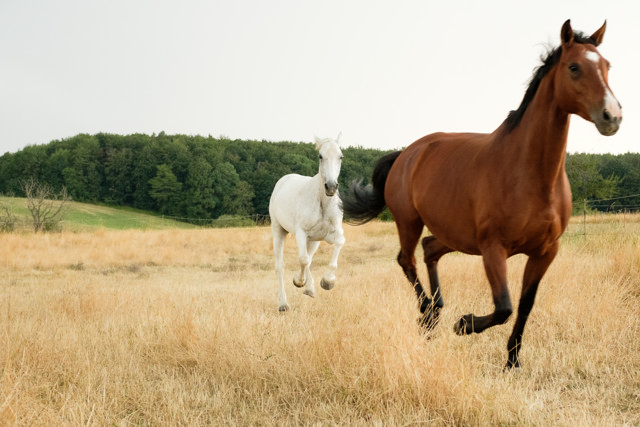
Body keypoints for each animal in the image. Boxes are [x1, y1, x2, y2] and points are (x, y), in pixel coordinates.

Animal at [269, 133, 346, 312]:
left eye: (340, 156)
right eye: (320, 156)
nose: (331, 187)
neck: (322, 201)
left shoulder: (330, 234)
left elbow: (338, 243)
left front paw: (327, 281)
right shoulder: (301, 233)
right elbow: (303, 259)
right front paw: (298, 281)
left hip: (314, 240)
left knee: (309, 259)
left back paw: (309, 288)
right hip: (278, 230)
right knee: (280, 266)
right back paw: (283, 304)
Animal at [341, 20, 622, 369]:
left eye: (607, 65)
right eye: (574, 67)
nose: (613, 116)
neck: (531, 175)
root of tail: (407, 154)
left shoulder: (545, 251)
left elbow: (525, 305)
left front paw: (512, 361)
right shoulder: (493, 249)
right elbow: (504, 306)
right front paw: (465, 324)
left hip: (455, 234)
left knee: (429, 250)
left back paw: (435, 311)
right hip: (409, 221)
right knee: (407, 259)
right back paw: (428, 314)